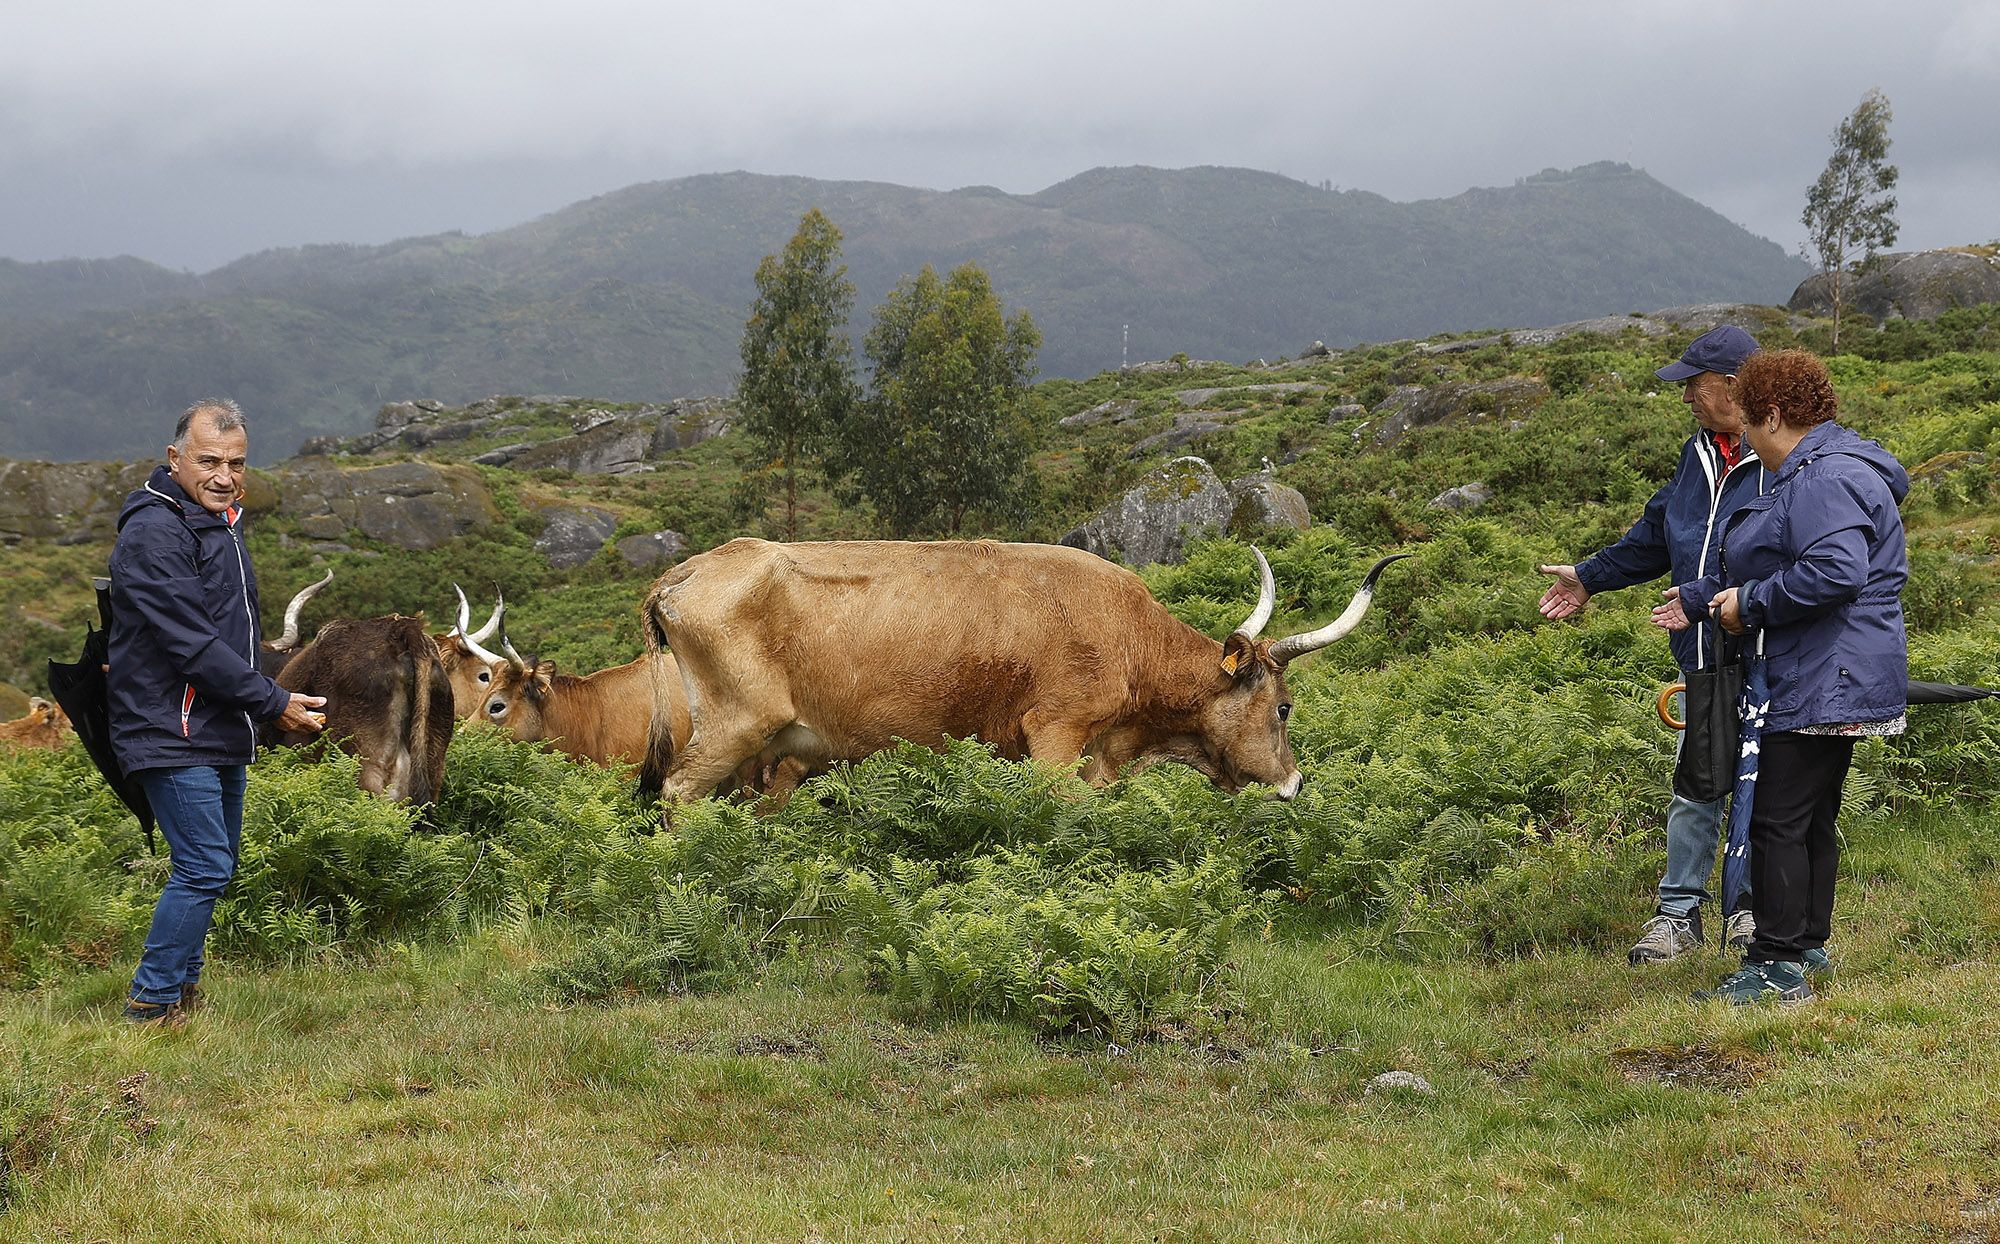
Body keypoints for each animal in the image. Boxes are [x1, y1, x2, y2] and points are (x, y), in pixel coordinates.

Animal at [640, 540, 1408, 804]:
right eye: (1284, 707)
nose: (1295, 783)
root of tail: (695, 567)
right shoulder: (1056, 736)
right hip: (735, 727)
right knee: (677, 791)